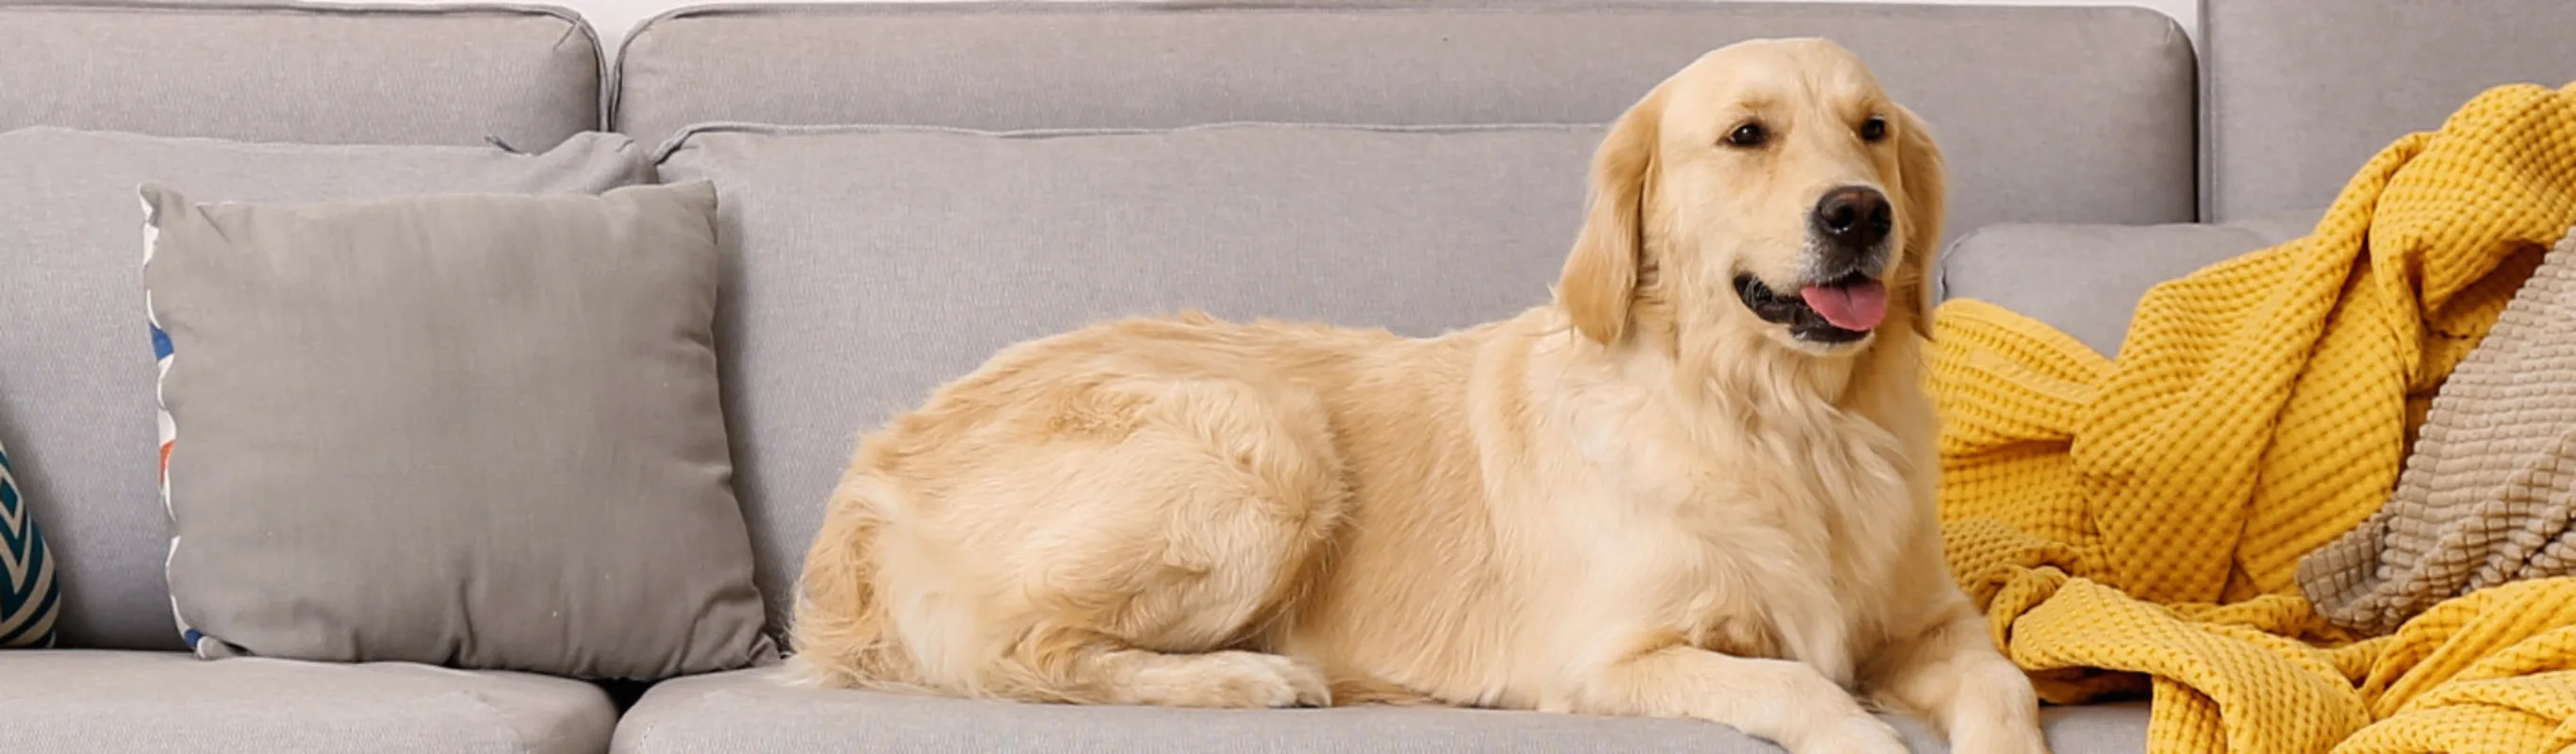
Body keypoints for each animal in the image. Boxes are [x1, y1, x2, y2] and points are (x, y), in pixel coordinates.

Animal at [787, 38, 2050, 751]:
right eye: (1747, 135)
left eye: (1871, 130)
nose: (1857, 212)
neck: (1786, 419)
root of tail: (868, 473)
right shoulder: (1610, 657)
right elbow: (1805, 689)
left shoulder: (1930, 622)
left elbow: (2004, 692)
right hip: (1268, 445)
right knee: (1018, 656)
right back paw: (1255, 675)